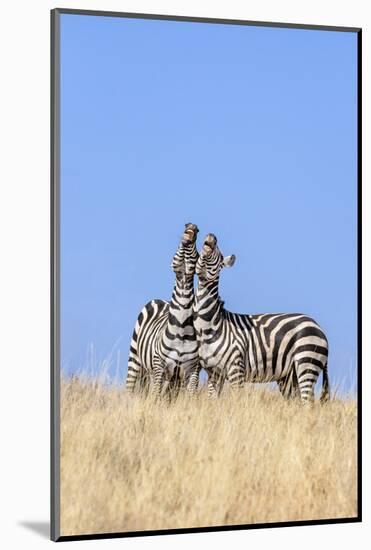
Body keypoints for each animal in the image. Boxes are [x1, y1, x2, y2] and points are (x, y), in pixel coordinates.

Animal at [125, 224, 201, 402]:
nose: (191, 227)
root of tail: (159, 300)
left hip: (174, 378)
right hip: (136, 358)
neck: (181, 328)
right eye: (176, 250)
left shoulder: (193, 370)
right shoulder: (159, 366)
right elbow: (155, 396)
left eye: (198, 232)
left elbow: (189, 398)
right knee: (130, 387)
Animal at [193, 234, 330, 406]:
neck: (210, 326)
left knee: (308, 403)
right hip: (288, 376)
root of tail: (317, 326)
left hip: (307, 362)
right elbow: (213, 402)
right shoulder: (214, 372)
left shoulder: (236, 368)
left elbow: (236, 401)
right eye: (200, 253)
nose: (212, 236)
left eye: (219, 253)